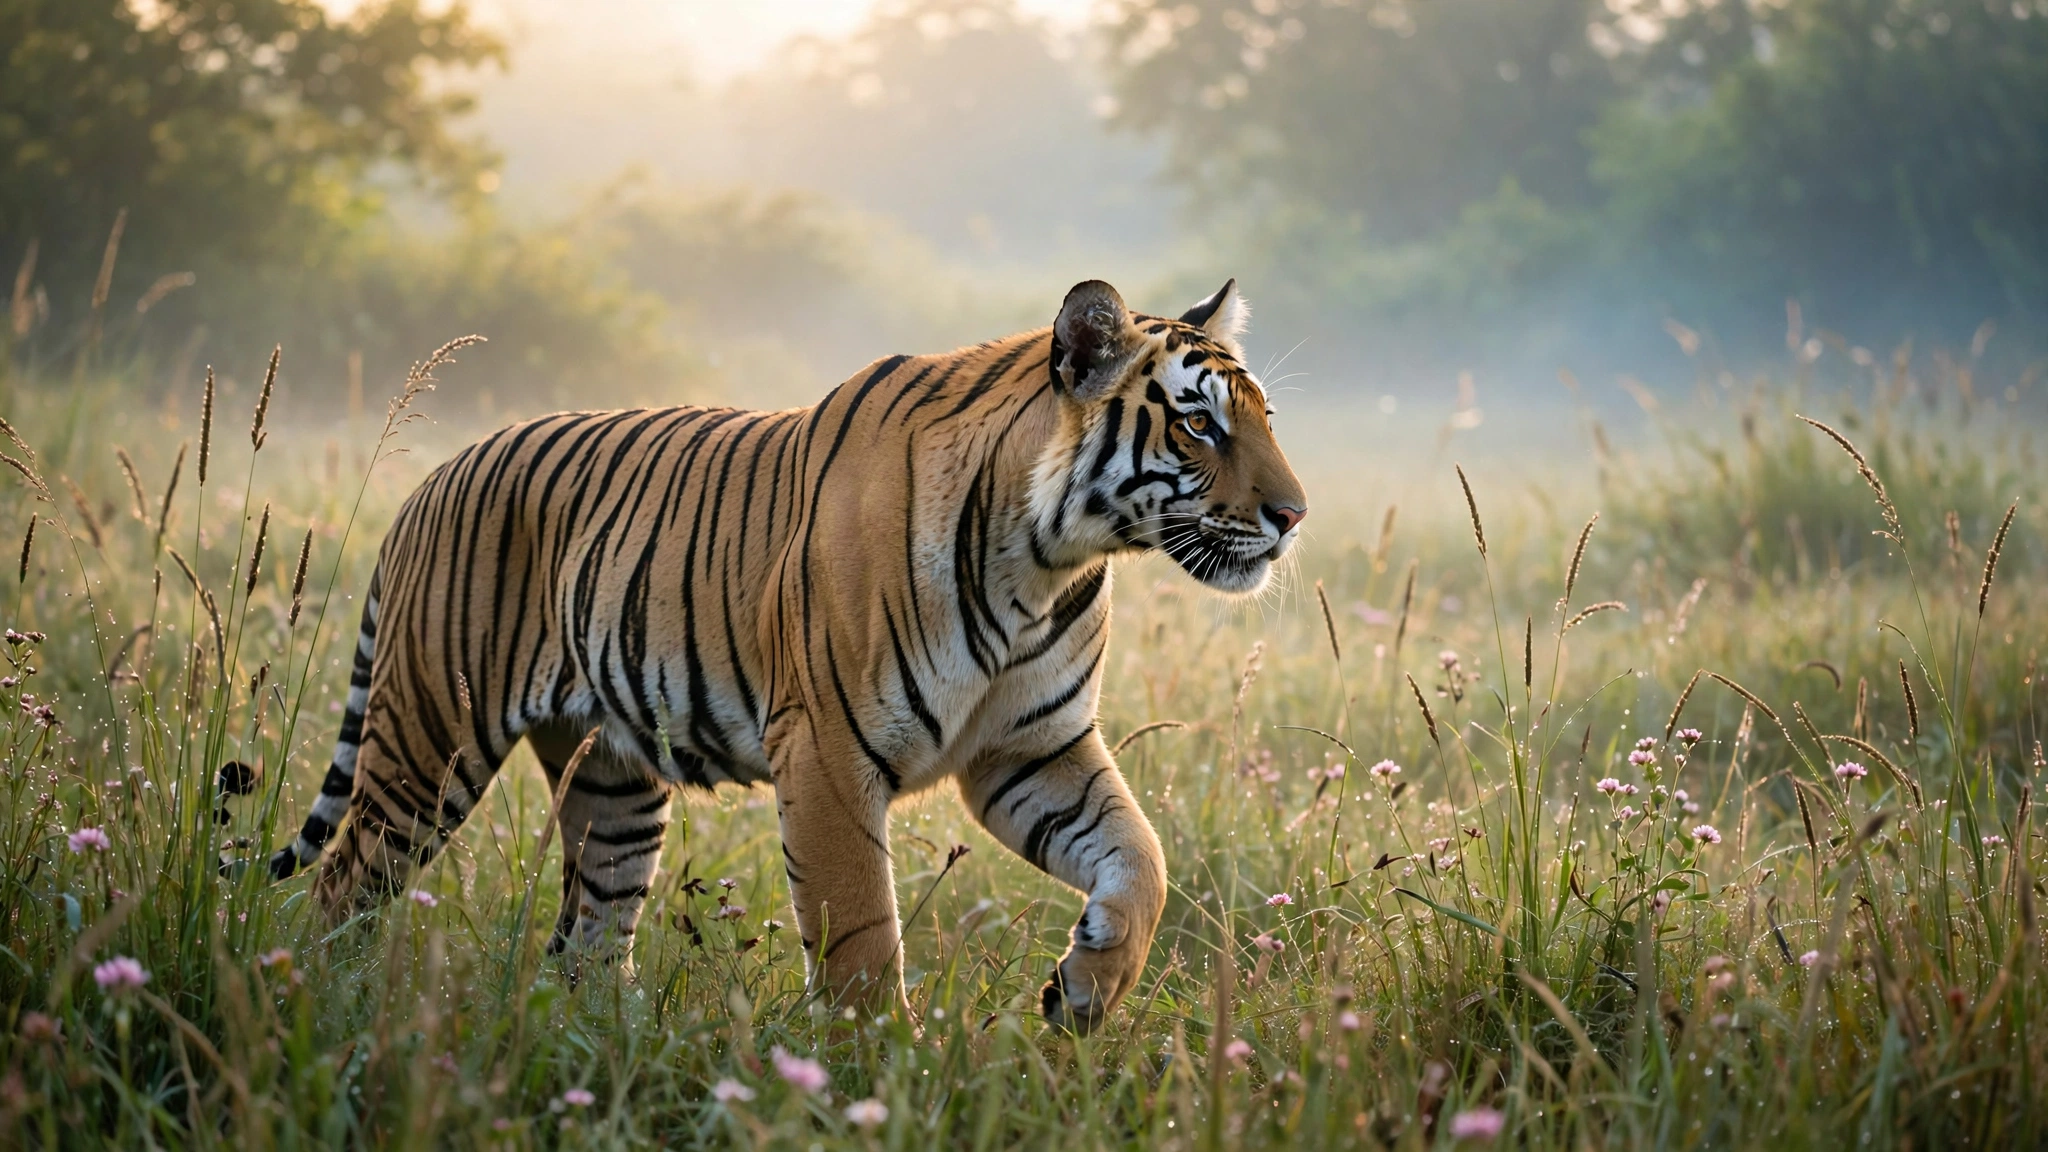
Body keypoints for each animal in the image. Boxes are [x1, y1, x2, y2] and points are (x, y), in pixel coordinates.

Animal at [262, 278, 1307, 1032]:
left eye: (1262, 419)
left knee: (589, 939)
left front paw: (1085, 991)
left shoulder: (1031, 749)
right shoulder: (831, 752)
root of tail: (430, 476)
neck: (1047, 560)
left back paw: (609, 1047)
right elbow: (862, 938)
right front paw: (879, 1078)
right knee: (343, 885)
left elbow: (1142, 862)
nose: (1294, 517)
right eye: (1199, 423)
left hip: (613, 785)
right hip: (428, 744)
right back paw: (326, 1013)